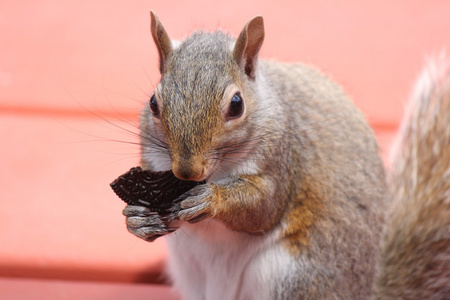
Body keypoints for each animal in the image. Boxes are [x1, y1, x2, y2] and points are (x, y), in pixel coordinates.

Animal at [123, 12, 450, 300]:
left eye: (237, 104)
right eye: (153, 103)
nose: (187, 172)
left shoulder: (282, 158)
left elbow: (264, 207)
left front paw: (212, 198)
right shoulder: (155, 160)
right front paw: (137, 219)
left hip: (292, 277)